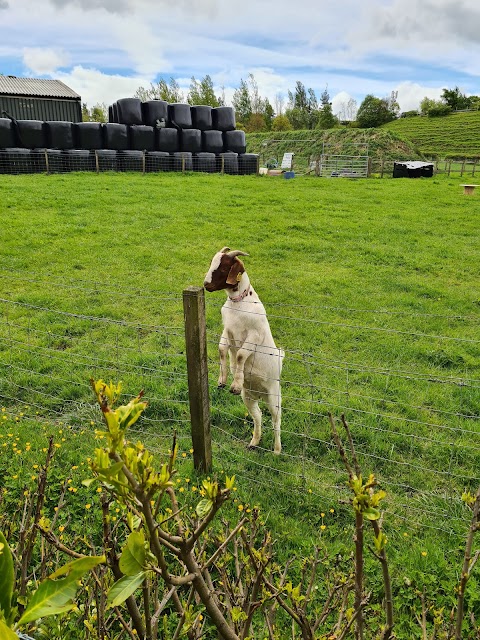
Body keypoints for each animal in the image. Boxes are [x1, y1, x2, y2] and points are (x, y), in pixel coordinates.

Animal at [203, 248, 284, 452]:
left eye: (224, 267)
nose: (206, 285)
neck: (238, 304)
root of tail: (259, 394)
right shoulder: (227, 329)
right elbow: (222, 349)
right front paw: (222, 380)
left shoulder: (253, 336)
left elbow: (240, 355)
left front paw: (235, 384)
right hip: (248, 398)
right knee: (258, 416)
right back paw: (254, 442)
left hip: (274, 396)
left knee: (276, 421)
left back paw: (277, 450)